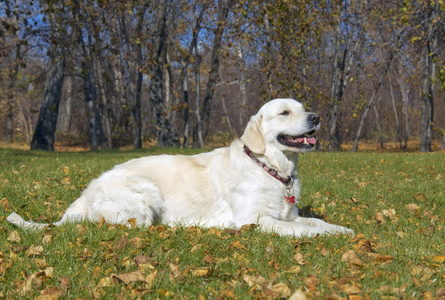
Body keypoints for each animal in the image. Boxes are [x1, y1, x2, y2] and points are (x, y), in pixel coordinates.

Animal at [6, 98, 354, 237]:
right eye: (284, 113)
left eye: (303, 108)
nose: (316, 117)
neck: (270, 167)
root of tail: (85, 193)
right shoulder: (254, 220)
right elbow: (304, 229)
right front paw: (329, 236)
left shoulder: (288, 213)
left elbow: (316, 222)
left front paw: (343, 229)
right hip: (144, 194)